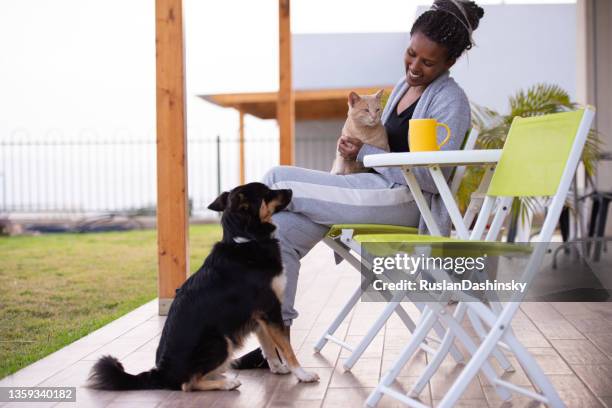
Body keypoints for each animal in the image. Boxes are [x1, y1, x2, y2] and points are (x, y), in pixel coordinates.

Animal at [91, 182, 320, 392]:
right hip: (221, 341)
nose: (290, 190)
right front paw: (302, 374)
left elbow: (269, 345)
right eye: (267, 192)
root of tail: (161, 373)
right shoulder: (270, 309)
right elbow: (285, 346)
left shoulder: (259, 316)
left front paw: (277, 368)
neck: (248, 240)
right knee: (188, 383)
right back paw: (227, 383)